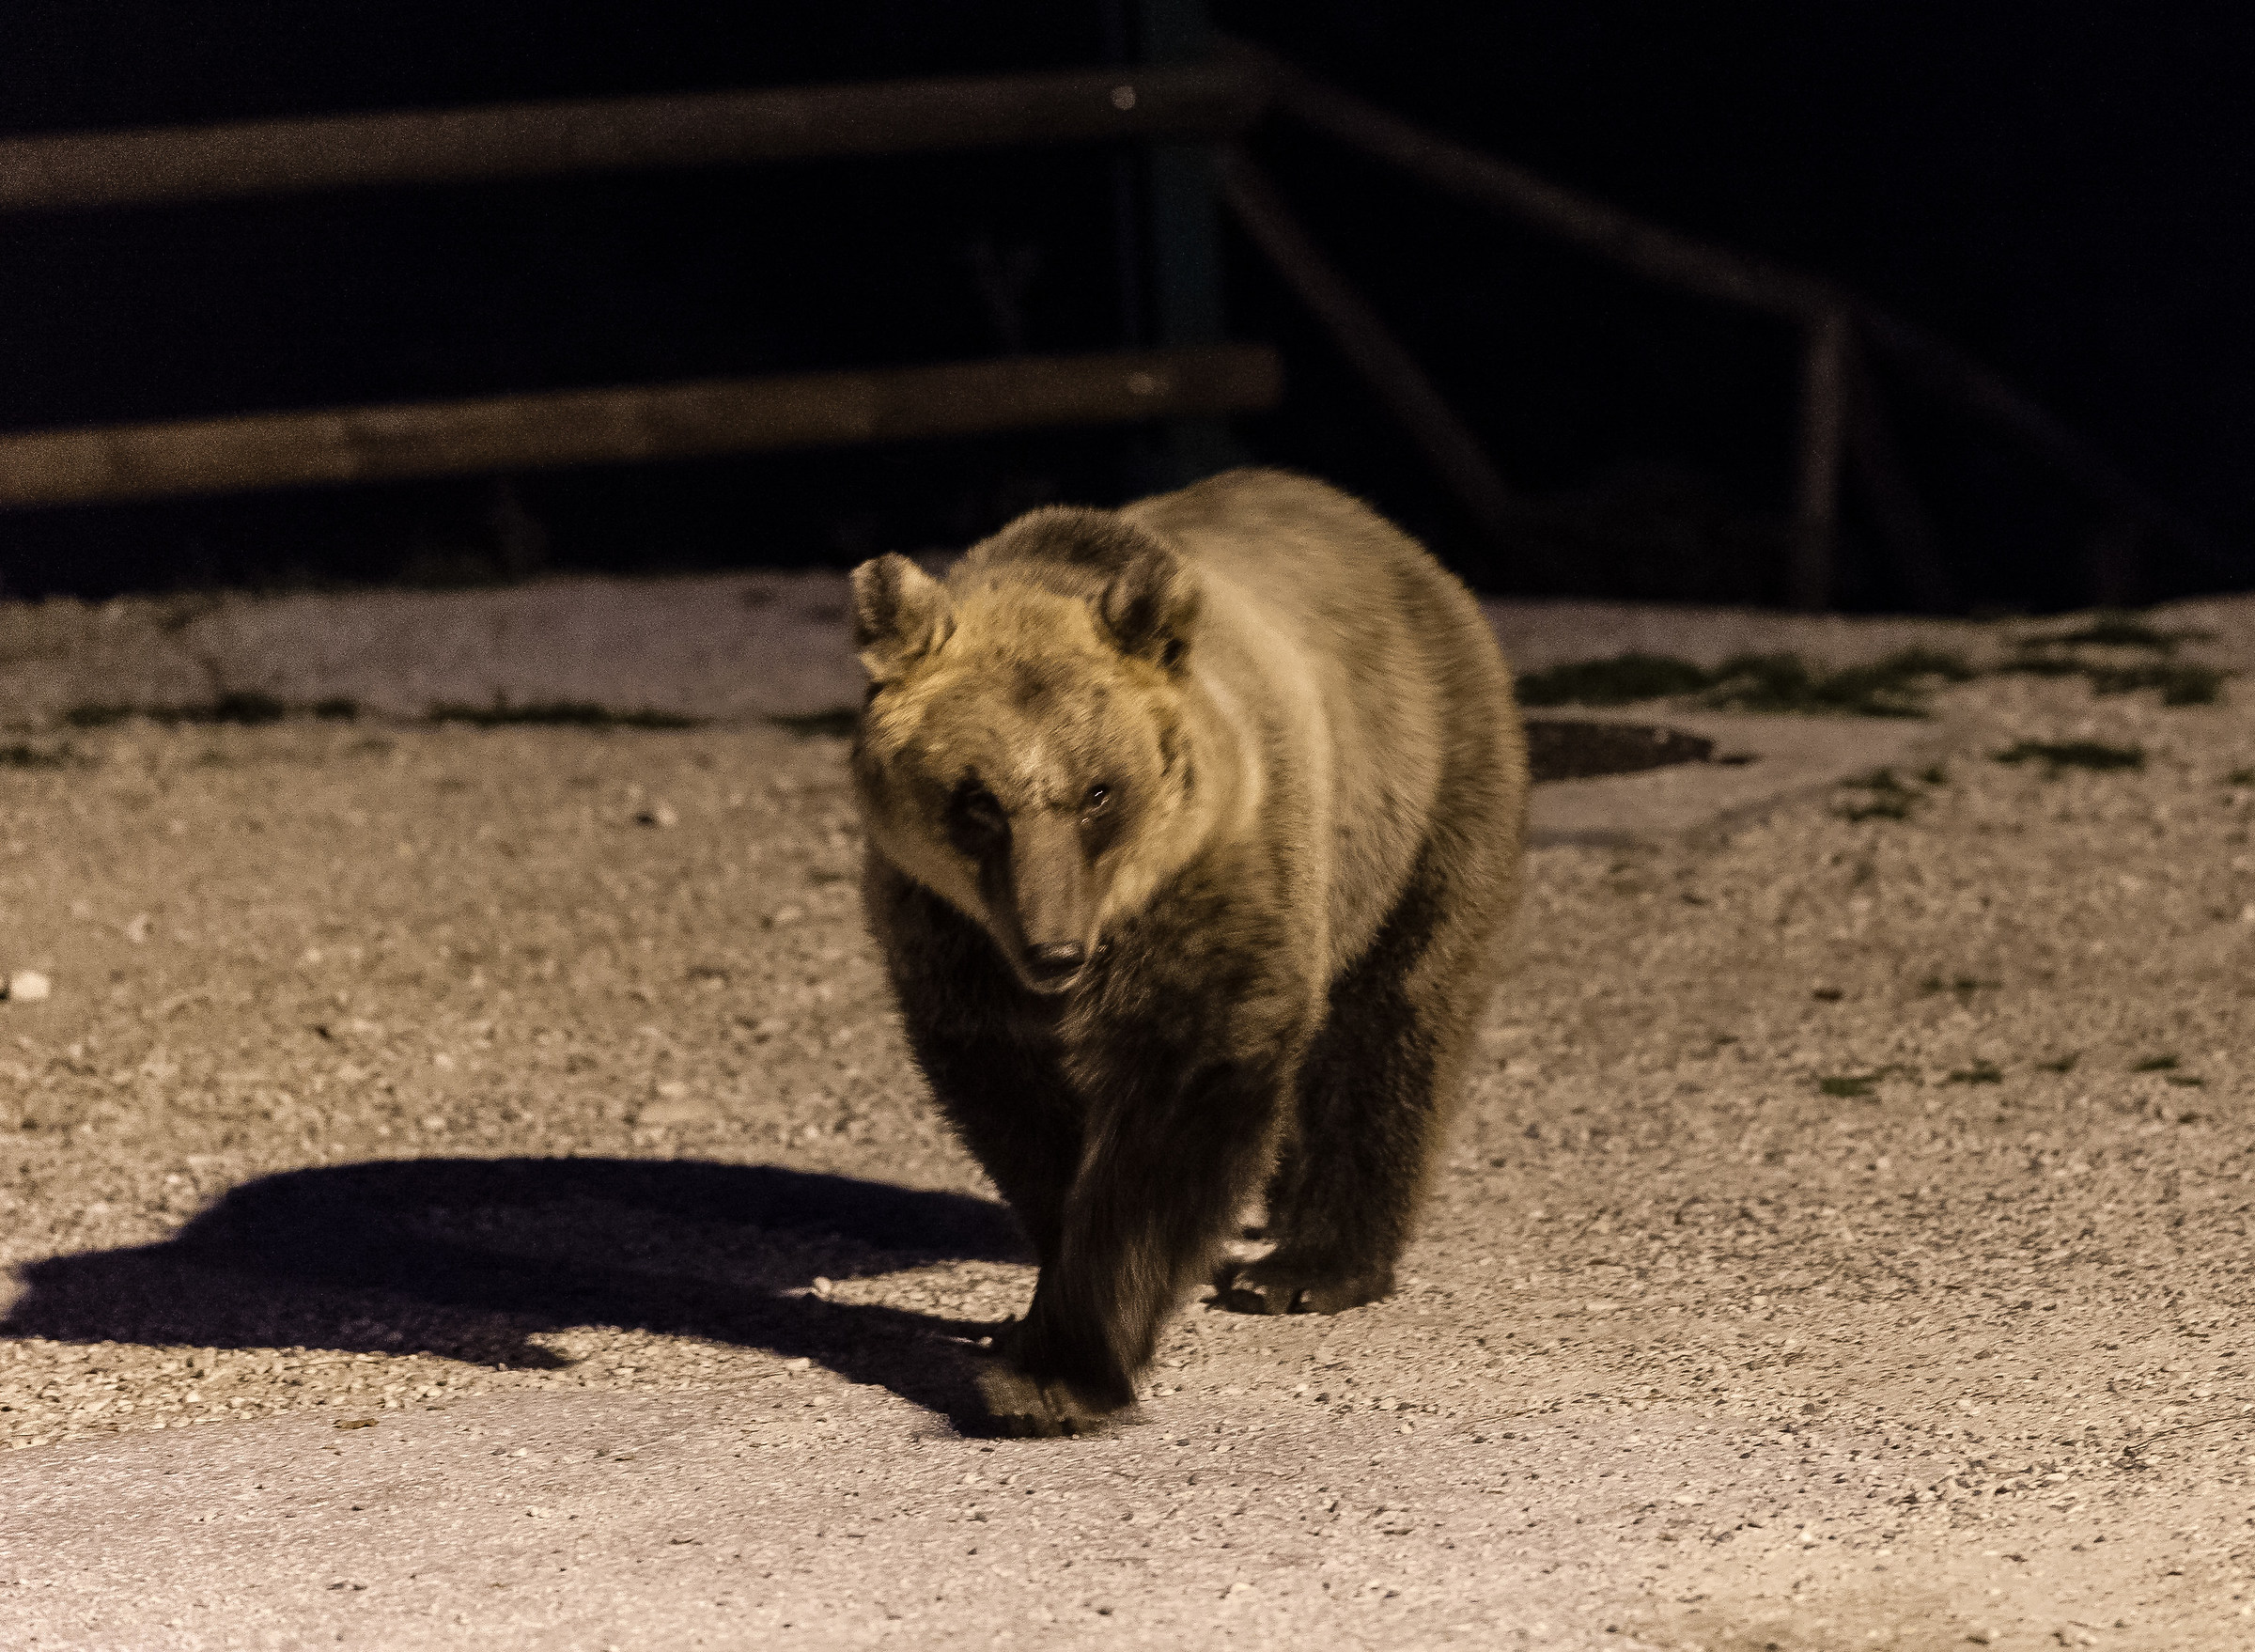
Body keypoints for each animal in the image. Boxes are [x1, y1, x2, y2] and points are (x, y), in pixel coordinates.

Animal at [847, 468, 1526, 1436]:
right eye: (976, 801)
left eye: (1099, 790)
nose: (1055, 949)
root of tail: (1385, 534)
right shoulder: (953, 938)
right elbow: (1021, 1117)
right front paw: (1032, 1319)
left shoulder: (1219, 876)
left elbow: (1178, 1108)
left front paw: (1058, 1374)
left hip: (1421, 796)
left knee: (1394, 1022)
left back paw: (1309, 1265)